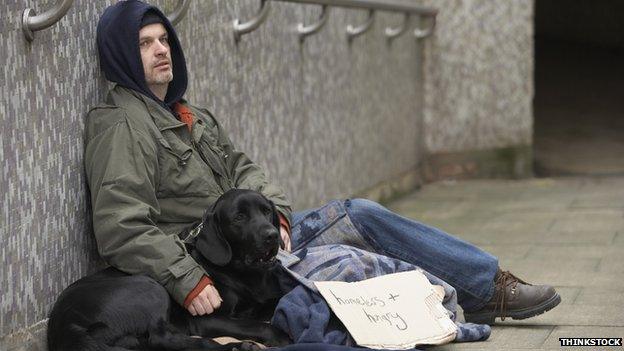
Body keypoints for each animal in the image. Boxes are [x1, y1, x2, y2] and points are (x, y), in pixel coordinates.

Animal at [47, 191, 296, 350]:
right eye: (239, 217)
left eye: (266, 211)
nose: (272, 235)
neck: (247, 274)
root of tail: (66, 324)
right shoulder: (208, 318)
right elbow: (255, 325)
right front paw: (282, 336)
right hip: (150, 288)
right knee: (160, 338)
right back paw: (237, 347)